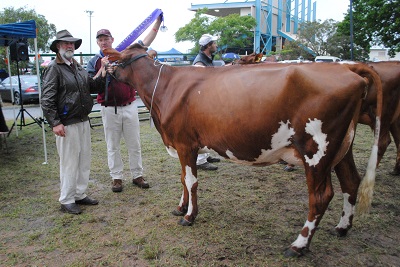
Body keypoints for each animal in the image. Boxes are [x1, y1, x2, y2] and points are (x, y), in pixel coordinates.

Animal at [104, 45, 382, 258]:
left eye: (117, 59)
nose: (106, 70)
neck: (165, 87)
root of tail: (347, 68)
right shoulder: (182, 146)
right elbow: (183, 179)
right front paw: (181, 208)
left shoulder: (185, 144)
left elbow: (191, 181)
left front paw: (189, 216)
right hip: (343, 147)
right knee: (351, 182)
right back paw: (342, 228)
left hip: (317, 150)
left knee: (321, 196)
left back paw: (298, 245)